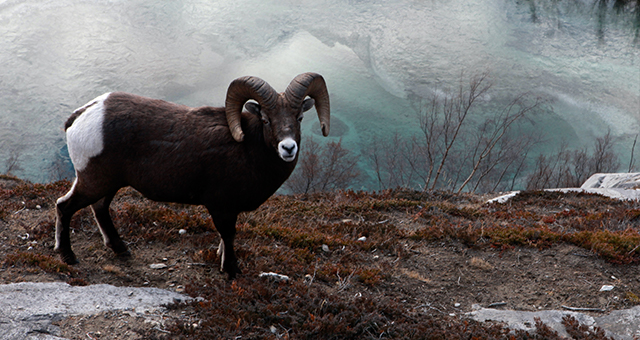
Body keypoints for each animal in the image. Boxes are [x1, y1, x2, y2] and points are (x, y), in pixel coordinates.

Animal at [55, 71, 330, 278]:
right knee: (64, 206)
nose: (288, 148)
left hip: (107, 184)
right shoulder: (221, 207)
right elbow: (228, 235)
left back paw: (121, 250)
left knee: (99, 208)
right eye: (265, 119)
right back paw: (68, 257)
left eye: (299, 117)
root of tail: (80, 117)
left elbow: (224, 239)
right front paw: (231, 271)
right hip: (93, 181)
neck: (248, 149)